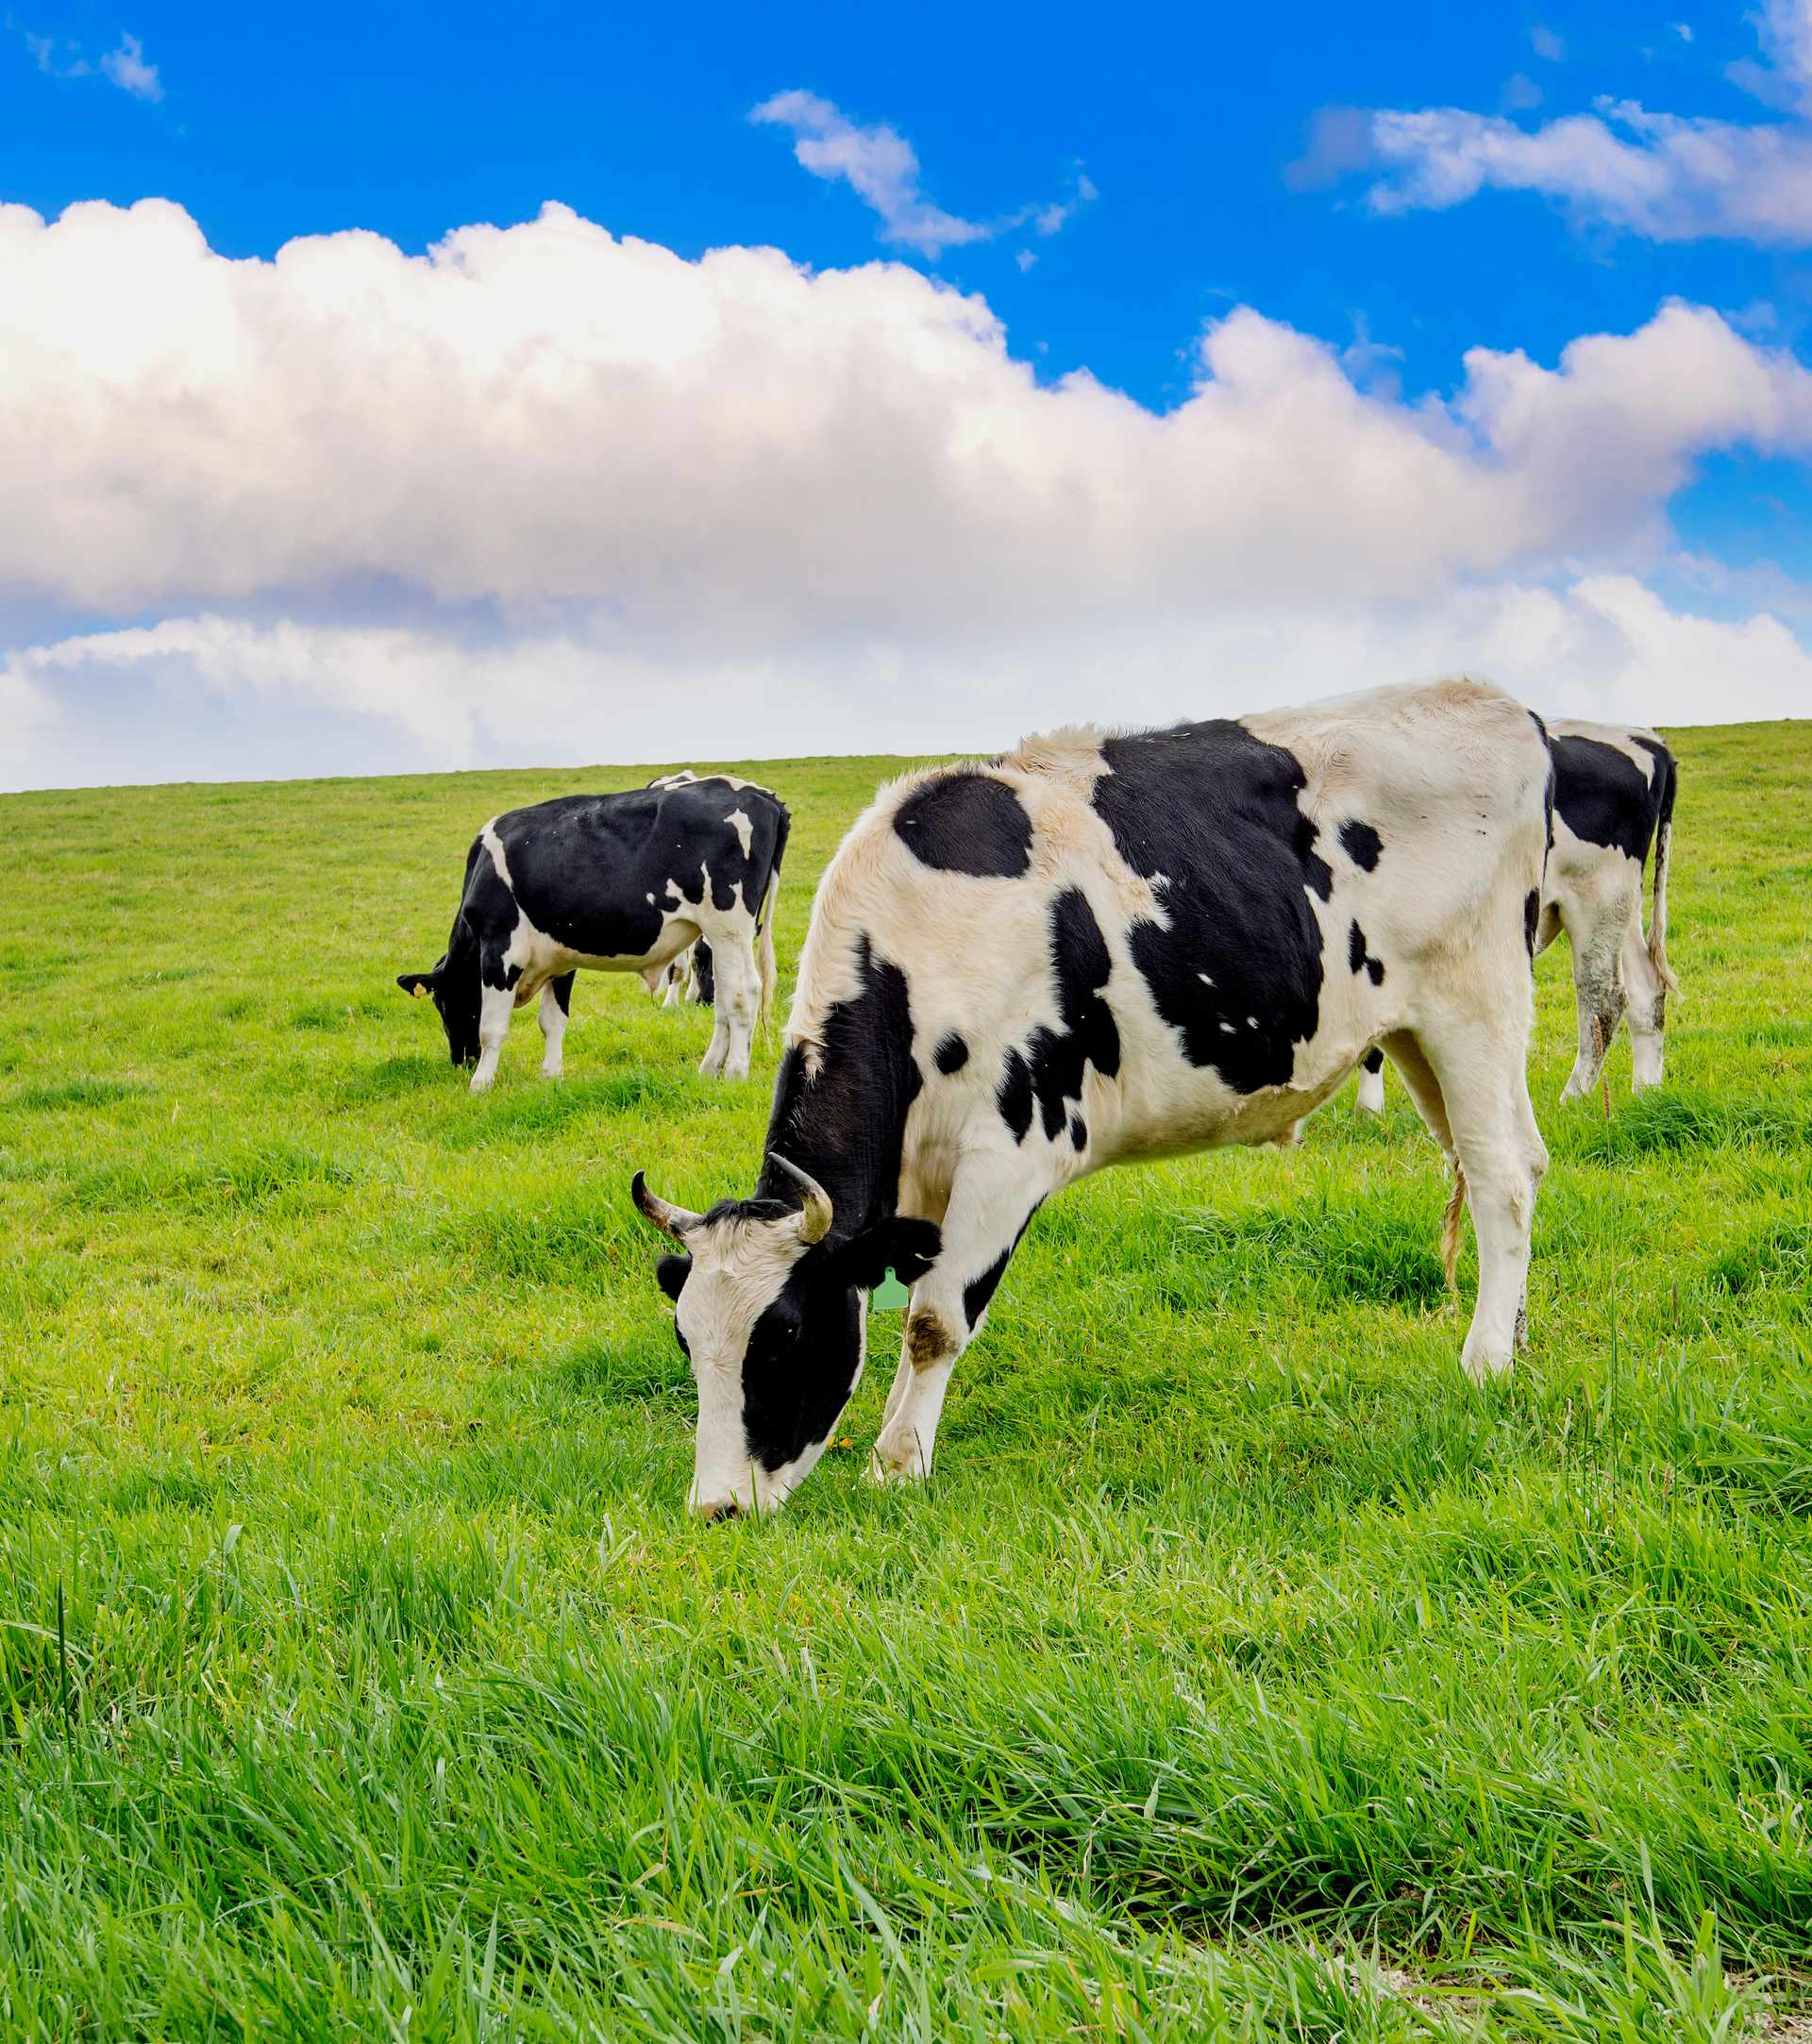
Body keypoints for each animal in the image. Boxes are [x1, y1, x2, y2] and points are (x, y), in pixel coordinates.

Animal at [397, 775, 789, 1090]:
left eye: (442, 1002)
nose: (461, 1061)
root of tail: (761, 794)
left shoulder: (501, 950)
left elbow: (493, 1027)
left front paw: (480, 1085)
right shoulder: (559, 958)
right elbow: (552, 1021)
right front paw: (550, 1076)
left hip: (728, 926)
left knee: (742, 993)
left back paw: (735, 1073)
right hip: (721, 936)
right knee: (722, 998)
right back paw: (708, 1069)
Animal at [630, 680, 1553, 1517]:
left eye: (784, 1336)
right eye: (685, 1338)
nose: (717, 1507)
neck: (916, 945)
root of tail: (1498, 704)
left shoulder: (1009, 1152)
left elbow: (934, 1322)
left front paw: (895, 1466)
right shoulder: (918, 1176)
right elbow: (907, 1302)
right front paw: (900, 1439)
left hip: (1474, 1007)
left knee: (1500, 1179)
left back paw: (1484, 1363)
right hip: (1415, 1035)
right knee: (1521, 1162)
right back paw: (1514, 1337)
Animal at [1355, 719, 1676, 1116]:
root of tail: (1646, 739)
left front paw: (1368, 1111)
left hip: (1596, 891)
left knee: (1604, 998)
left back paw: (1570, 1100)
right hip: (1622, 902)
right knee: (1646, 988)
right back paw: (1647, 1095)